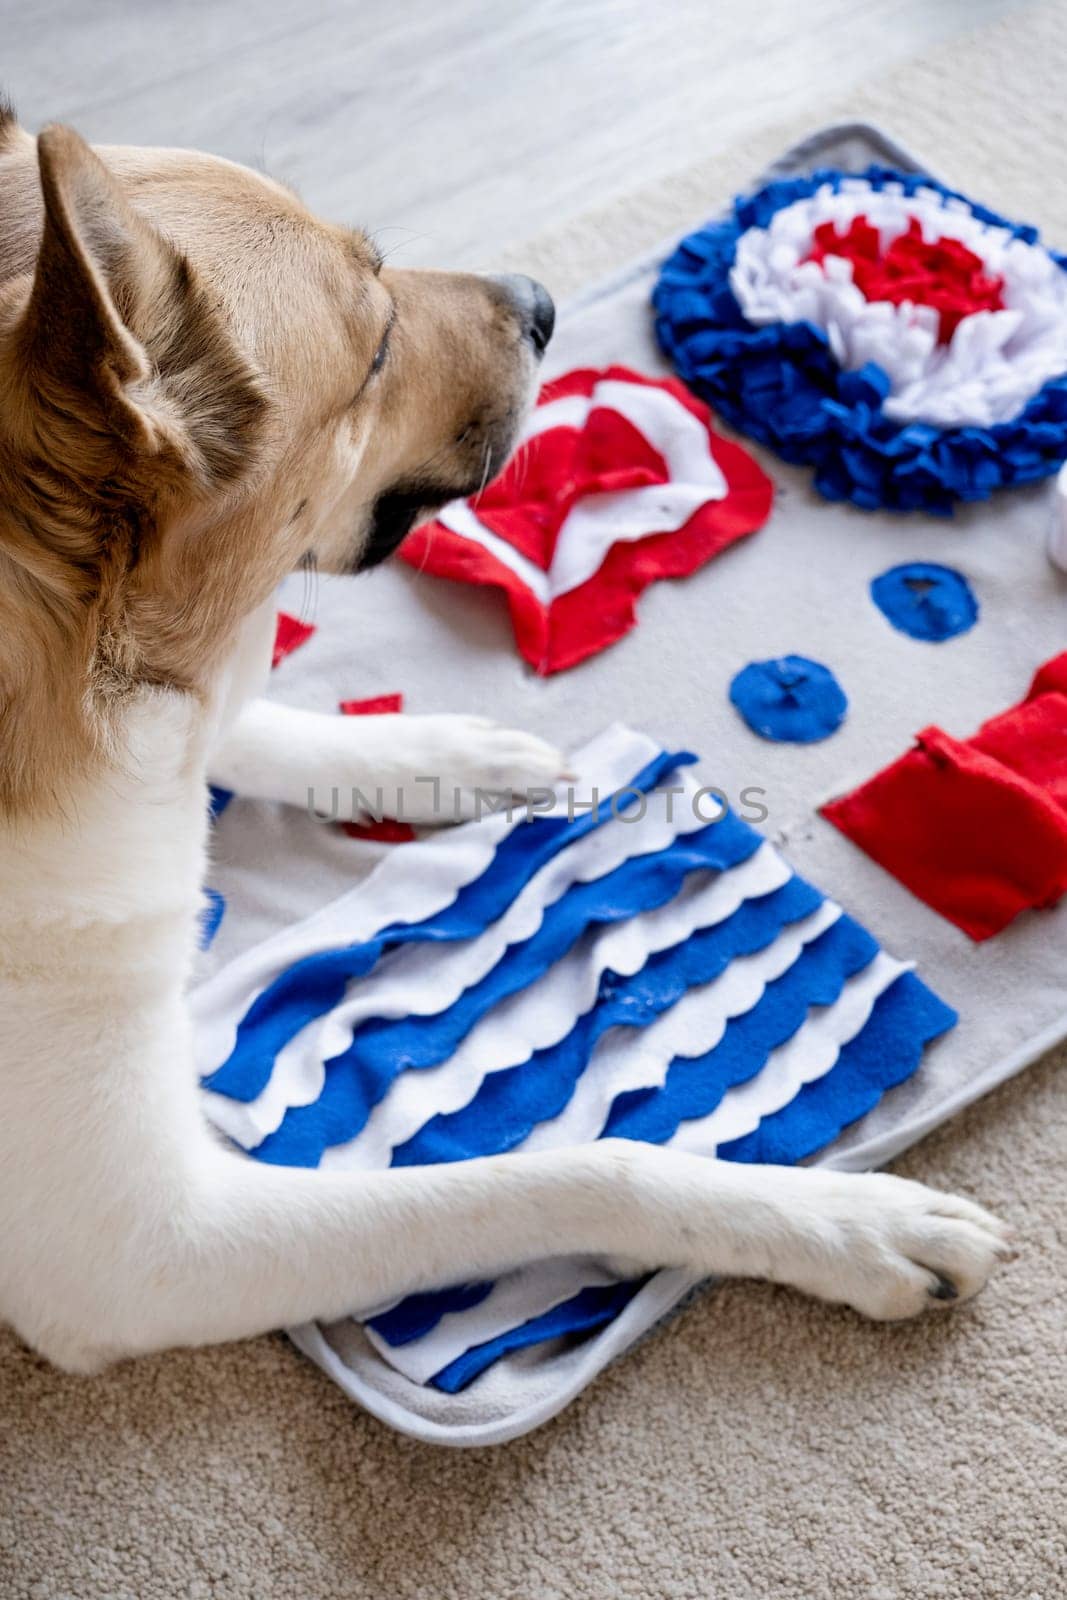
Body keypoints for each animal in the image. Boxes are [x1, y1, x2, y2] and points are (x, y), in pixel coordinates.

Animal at [0, 109, 1011, 1376]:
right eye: (376, 347)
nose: (540, 301)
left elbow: (249, 718)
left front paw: (435, 756)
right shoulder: (147, 1250)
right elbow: (581, 1172)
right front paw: (842, 1220)